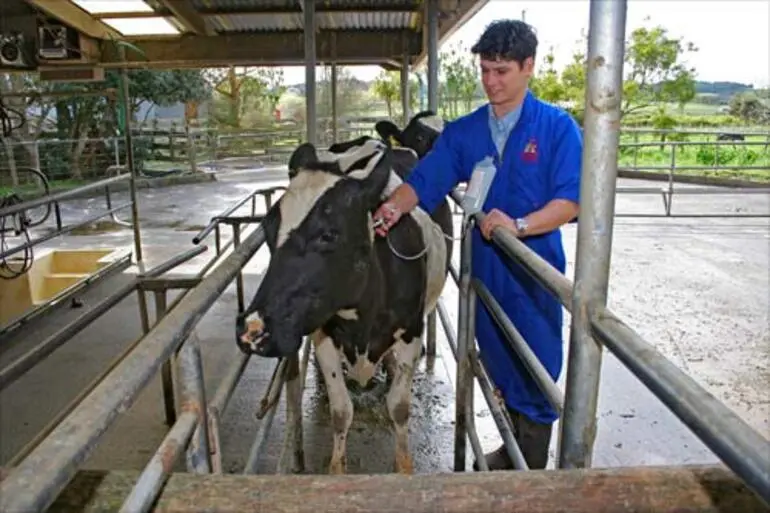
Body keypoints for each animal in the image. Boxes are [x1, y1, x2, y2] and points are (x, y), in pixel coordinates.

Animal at [237, 131, 452, 472]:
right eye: (268, 229)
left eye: (329, 234)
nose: (252, 330)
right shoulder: (323, 334)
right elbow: (341, 411)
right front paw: (337, 468)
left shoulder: (411, 332)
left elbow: (399, 407)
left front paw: (404, 466)